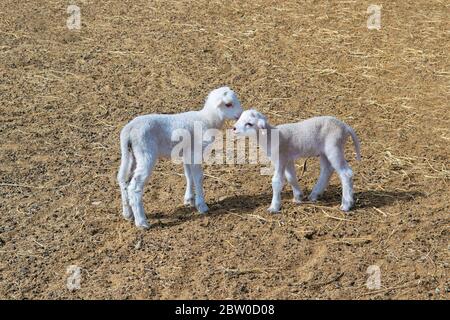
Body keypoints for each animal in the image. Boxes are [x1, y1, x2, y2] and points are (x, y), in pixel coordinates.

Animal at [116, 86, 243, 229]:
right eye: (228, 104)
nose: (240, 114)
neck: (208, 119)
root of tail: (129, 130)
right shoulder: (196, 152)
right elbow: (198, 178)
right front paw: (202, 206)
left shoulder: (187, 153)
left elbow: (189, 176)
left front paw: (189, 200)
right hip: (145, 153)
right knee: (134, 187)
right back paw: (142, 222)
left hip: (131, 154)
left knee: (123, 180)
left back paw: (128, 214)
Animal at [232, 109, 362, 212]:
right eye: (240, 118)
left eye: (249, 124)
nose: (234, 128)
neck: (270, 137)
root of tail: (345, 127)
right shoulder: (288, 159)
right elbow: (291, 178)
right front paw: (298, 197)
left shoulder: (280, 158)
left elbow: (277, 181)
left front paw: (274, 207)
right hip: (324, 152)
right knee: (327, 170)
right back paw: (315, 195)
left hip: (334, 147)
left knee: (346, 173)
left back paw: (346, 205)